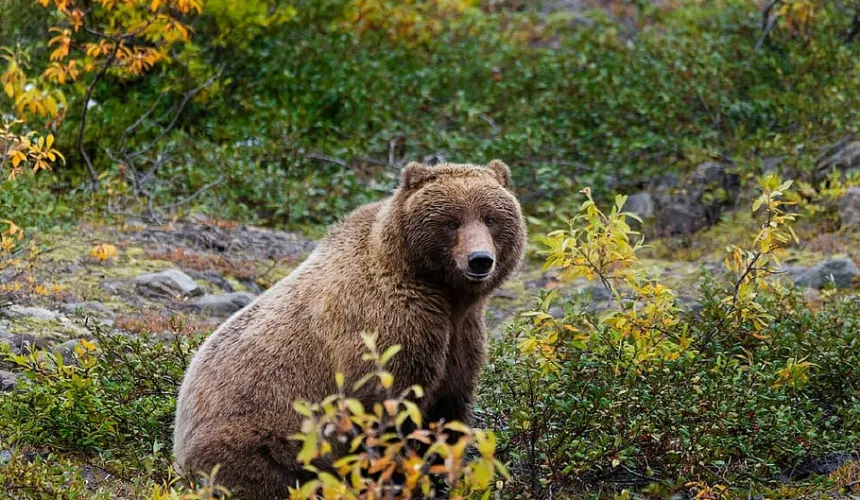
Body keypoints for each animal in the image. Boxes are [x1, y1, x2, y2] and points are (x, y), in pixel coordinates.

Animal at [172, 160, 528, 500]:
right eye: (452, 221)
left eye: (491, 218)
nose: (479, 260)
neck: (440, 292)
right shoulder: (385, 329)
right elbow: (385, 415)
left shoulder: (460, 337)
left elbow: (448, 414)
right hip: (261, 437)